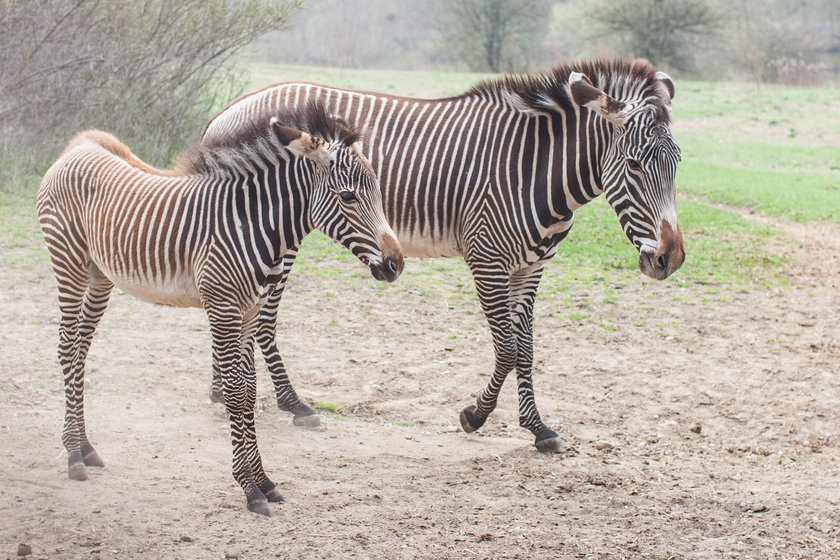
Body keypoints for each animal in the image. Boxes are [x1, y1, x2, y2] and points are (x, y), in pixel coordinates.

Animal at [37, 101, 406, 516]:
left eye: (377, 193)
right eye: (348, 197)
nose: (396, 264)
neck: (251, 225)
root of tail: (80, 146)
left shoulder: (248, 312)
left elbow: (248, 390)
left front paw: (265, 482)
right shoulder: (224, 308)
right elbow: (233, 392)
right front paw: (249, 488)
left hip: (100, 276)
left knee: (80, 350)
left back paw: (86, 447)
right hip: (68, 263)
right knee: (66, 348)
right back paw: (73, 456)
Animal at [207, 59, 684, 452]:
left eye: (677, 163)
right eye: (635, 165)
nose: (671, 259)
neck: (536, 169)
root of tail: (231, 108)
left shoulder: (532, 267)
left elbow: (527, 349)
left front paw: (538, 429)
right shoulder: (488, 261)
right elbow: (507, 349)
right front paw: (475, 415)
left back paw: (221, 390)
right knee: (263, 319)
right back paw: (293, 404)